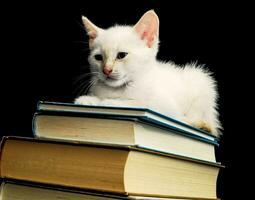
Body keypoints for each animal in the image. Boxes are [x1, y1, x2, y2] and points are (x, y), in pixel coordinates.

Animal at [75, 10, 221, 137]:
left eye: (121, 55)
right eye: (98, 57)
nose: (106, 70)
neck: (120, 88)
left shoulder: (163, 108)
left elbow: (140, 104)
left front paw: (108, 102)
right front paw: (89, 100)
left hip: (201, 80)